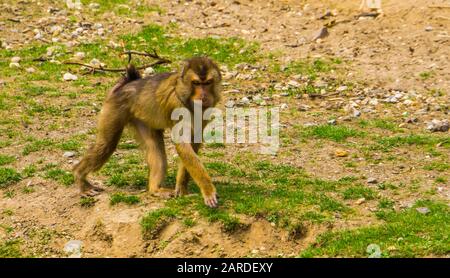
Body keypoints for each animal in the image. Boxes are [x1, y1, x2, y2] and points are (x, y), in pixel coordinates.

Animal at [73, 56, 222, 207]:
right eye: (196, 83)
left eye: (207, 83)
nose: (203, 96)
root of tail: (128, 84)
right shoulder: (176, 104)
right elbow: (183, 145)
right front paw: (208, 190)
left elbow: (193, 143)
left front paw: (182, 189)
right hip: (114, 107)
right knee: (106, 145)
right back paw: (80, 179)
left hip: (143, 119)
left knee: (156, 151)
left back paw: (155, 190)